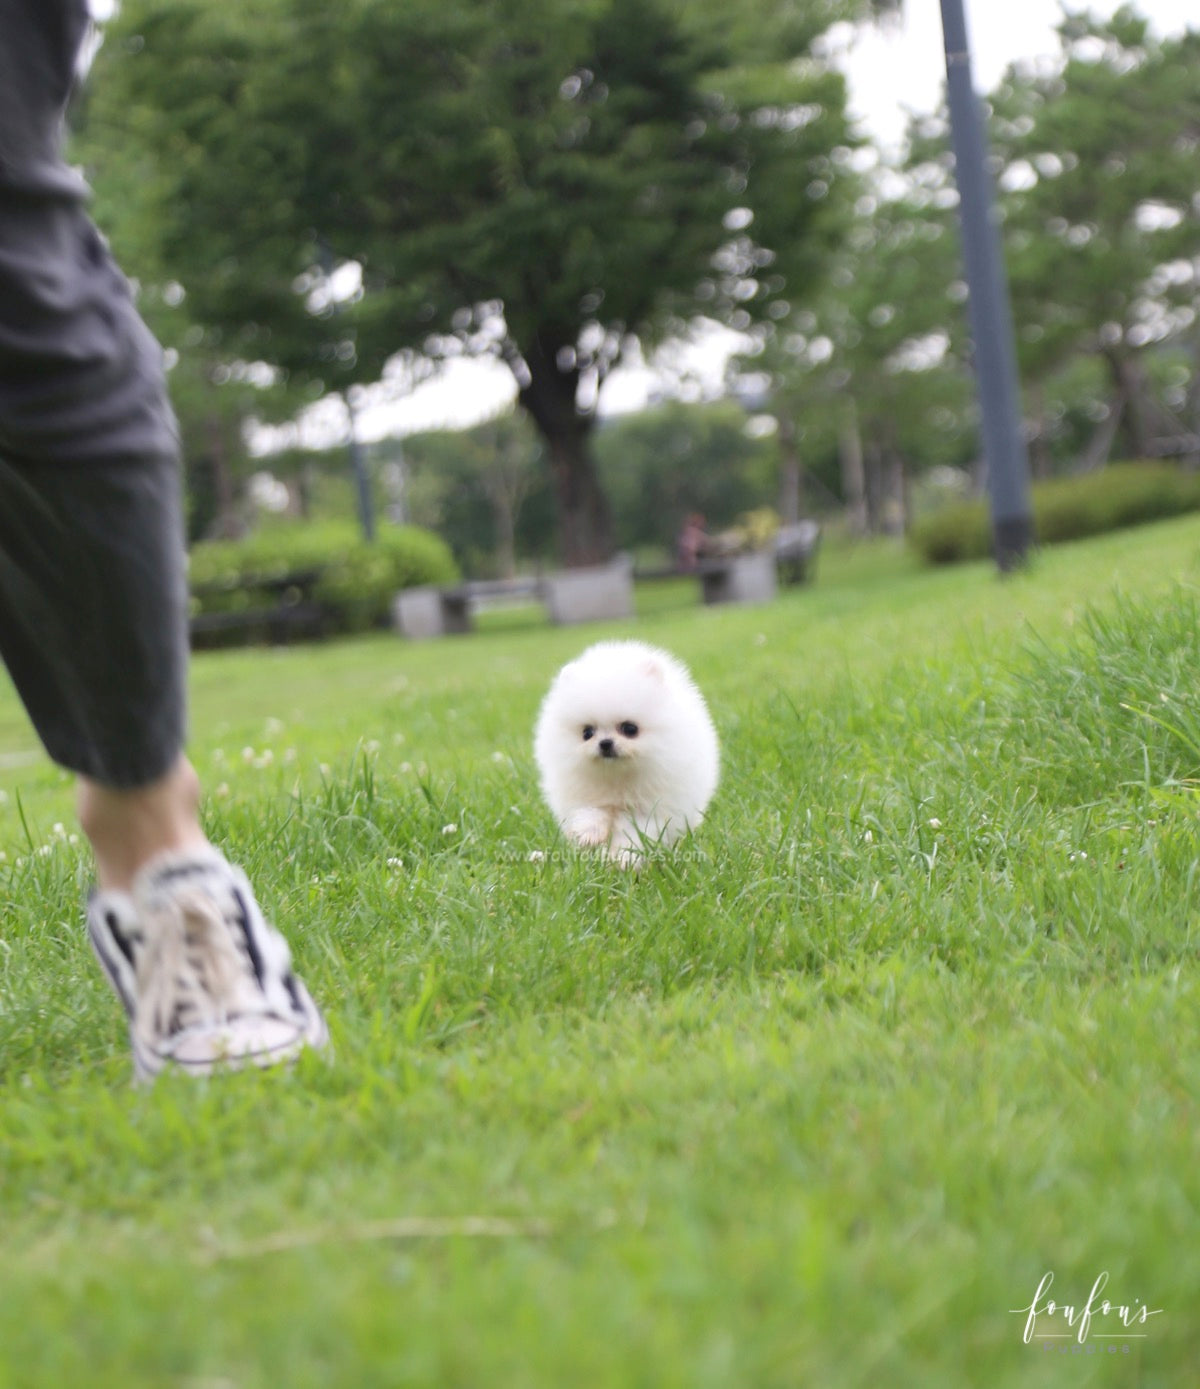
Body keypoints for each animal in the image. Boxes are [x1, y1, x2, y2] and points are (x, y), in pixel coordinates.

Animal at [536, 641, 722, 861]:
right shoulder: (582, 794)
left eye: (630, 729)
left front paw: (625, 858)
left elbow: (634, 832)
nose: (605, 743)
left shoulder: (650, 808)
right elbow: (590, 811)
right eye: (587, 733)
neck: (617, 778)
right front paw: (589, 835)